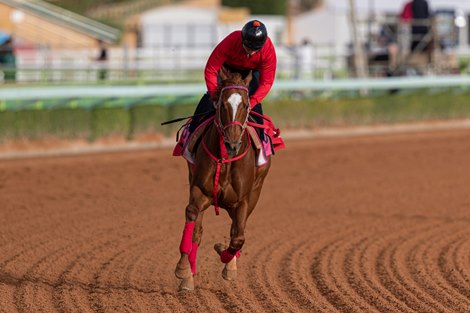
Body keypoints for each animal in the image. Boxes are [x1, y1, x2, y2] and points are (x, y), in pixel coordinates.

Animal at [174, 66, 272, 290]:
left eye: (245, 105)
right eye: (222, 104)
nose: (232, 144)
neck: (226, 160)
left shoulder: (243, 200)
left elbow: (238, 238)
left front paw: (225, 257)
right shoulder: (199, 191)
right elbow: (193, 221)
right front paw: (183, 269)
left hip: (255, 192)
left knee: (237, 230)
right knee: (198, 230)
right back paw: (189, 274)